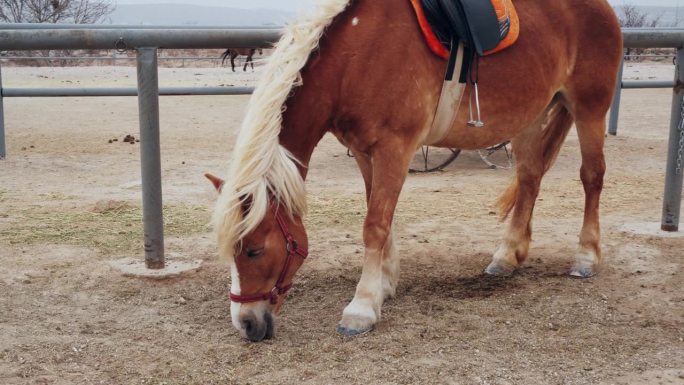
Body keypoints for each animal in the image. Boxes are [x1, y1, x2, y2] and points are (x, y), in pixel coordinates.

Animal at [206, 0, 624, 342]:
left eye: (255, 250)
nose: (246, 324)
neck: (357, 55)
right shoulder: (364, 152)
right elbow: (380, 217)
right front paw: (384, 284)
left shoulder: (394, 148)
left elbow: (374, 225)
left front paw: (362, 307)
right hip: (531, 116)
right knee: (530, 177)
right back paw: (507, 256)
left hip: (589, 107)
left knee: (592, 176)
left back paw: (586, 257)